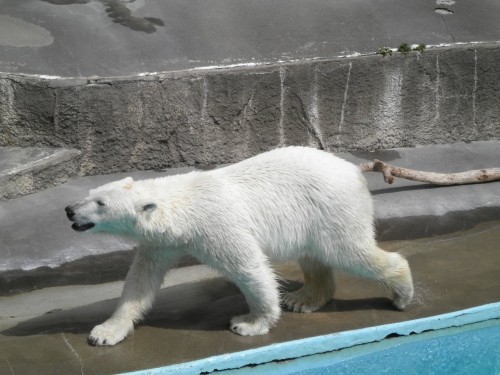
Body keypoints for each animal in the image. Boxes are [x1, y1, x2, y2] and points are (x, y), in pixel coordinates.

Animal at [64, 146, 412, 346]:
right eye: (91, 194)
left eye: (101, 204)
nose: (69, 210)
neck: (183, 206)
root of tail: (354, 169)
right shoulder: (160, 242)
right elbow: (139, 281)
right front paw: (105, 332)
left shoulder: (217, 226)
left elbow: (249, 267)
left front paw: (249, 323)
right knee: (314, 256)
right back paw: (303, 298)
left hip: (332, 208)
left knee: (350, 251)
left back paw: (402, 293)